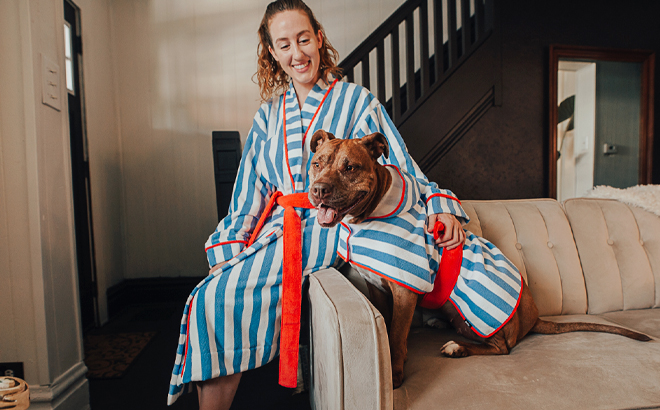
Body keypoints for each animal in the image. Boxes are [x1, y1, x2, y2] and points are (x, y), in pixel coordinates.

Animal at [308, 130, 648, 390]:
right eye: (316, 164)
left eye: (350, 167)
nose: (318, 189)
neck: (371, 212)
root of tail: (532, 318)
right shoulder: (378, 287)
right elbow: (388, 327)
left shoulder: (405, 290)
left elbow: (397, 334)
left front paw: (394, 373)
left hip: (484, 311)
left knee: (503, 348)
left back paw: (458, 347)